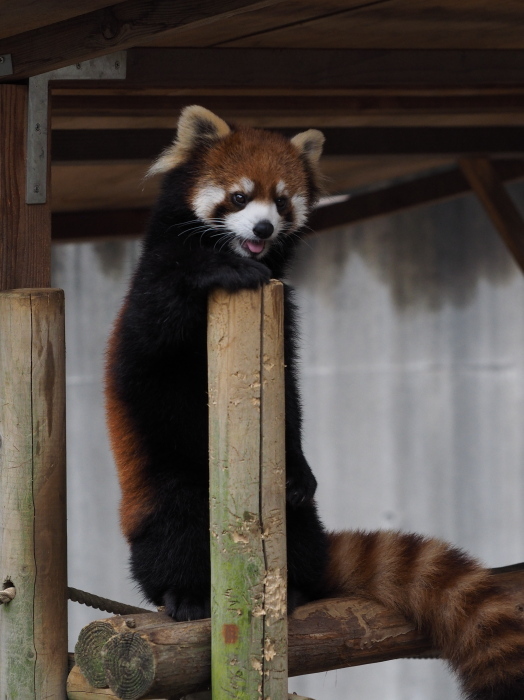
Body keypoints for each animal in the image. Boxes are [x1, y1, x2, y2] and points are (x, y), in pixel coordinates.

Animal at [105, 101, 524, 696]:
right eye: (239, 197)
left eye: (281, 200)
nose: (263, 227)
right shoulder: (150, 296)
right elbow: (161, 318)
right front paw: (224, 268)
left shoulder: (284, 313)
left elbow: (291, 401)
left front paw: (304, 466)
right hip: (160, 486)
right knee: (174, 528)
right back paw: (183, 597)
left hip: (294, 519)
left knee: (299, 520)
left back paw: (300, 586)